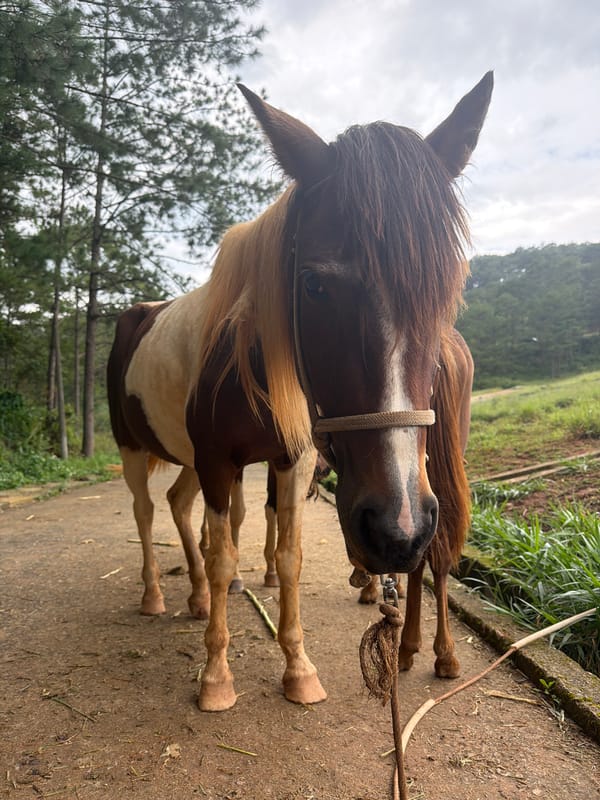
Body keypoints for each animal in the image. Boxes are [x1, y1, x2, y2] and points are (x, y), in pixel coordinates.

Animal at [107, 72, 492, 712]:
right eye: (313, 284)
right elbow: (224, 553)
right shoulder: (219, 461)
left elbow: (287, 557)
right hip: (134, 451)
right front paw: (216, 677)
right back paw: (156, 596)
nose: (399, 528)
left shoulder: (290, 460)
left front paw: (298, 668)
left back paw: (195, 599)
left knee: (178, 506)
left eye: (448, 284)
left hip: (189, 461)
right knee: (144, 513)